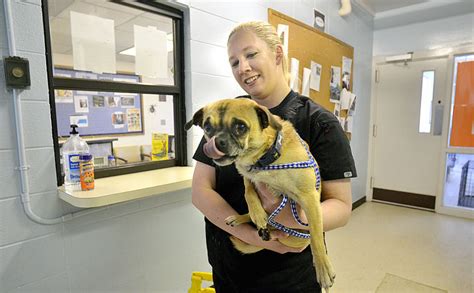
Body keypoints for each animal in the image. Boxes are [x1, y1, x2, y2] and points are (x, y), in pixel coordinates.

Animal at [185, 97, 336, 288]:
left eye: (240, 127)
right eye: (207, 127)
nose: (216, 143)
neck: (264, 158)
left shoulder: (309, 197)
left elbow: (316, 237)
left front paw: (323, 268)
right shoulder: (248, 176)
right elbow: (249, 193)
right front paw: (256, 213)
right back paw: (245, 219)